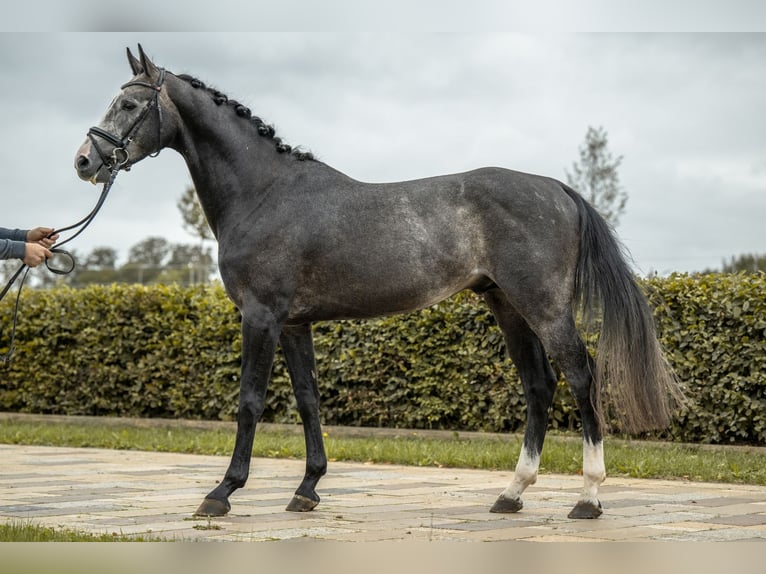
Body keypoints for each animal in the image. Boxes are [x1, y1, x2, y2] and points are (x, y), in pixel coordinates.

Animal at [73, 45, 684, 520]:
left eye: (129, 104)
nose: (84, 161)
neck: (265, 193)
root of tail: (557, 188)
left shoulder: (262, 317)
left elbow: (249, 400)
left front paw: (222, 492)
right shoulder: (293, 324)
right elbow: (309, 400)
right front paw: (307, 489)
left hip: (545, 307)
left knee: (580, 377)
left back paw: (588, 498)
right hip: (508, 307)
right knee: (539, 386)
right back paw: (511, 495)